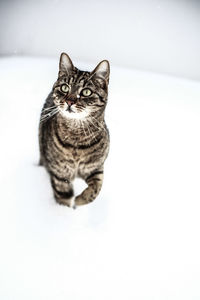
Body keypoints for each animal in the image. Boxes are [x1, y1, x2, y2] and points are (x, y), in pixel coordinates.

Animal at [38, 52, 111, 209]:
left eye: (86, 92)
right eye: (65, 87)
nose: (70, 101)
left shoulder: (96, 167)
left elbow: (96, 188)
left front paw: (80, 200)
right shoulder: (60, 175)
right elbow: (63, 199)